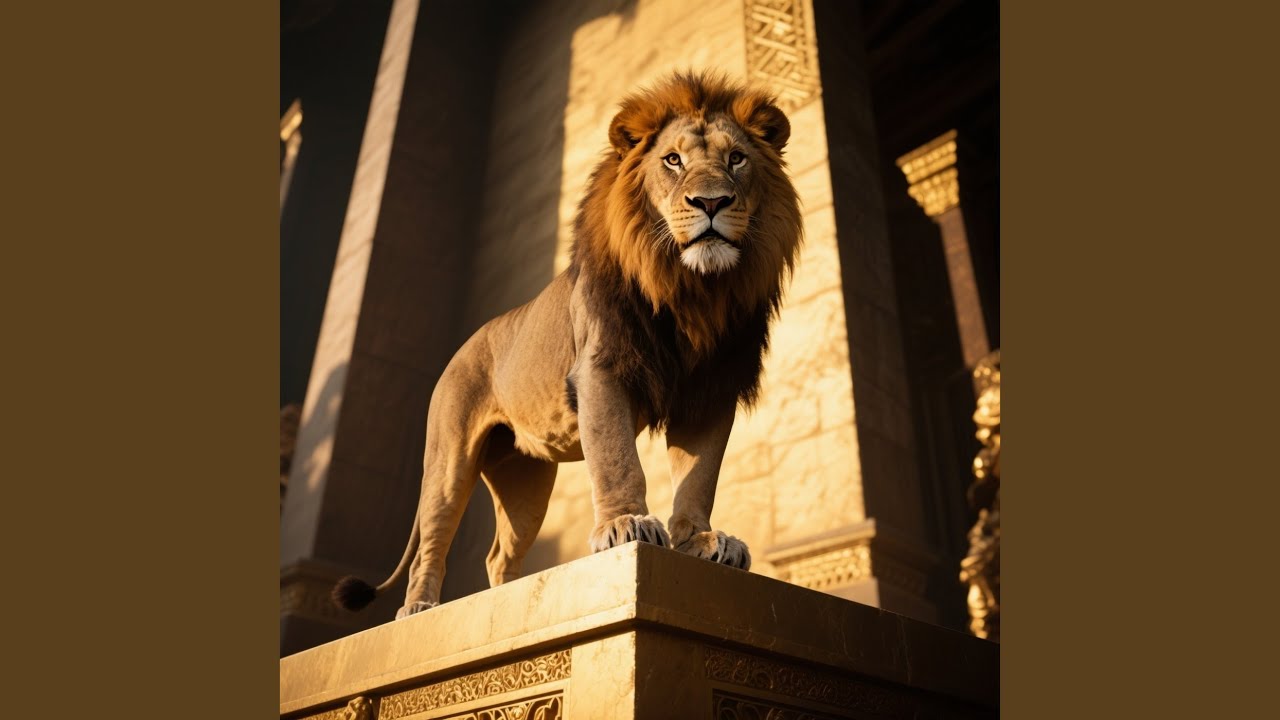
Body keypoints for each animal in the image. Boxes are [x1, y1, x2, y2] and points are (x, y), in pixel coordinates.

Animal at [333, 72, 802, 619]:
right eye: (673, 160)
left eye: (736, 159)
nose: (711, 204)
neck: (692, 290)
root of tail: (464, 344)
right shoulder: (602, 370)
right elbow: (618, 458)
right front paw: (625, 525)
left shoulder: (710, 391)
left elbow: (698, 477)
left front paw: (701, 541)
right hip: (448, 462)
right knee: (433, 540)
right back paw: (421, 608)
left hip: (524, 479)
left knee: (499, 554)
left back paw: (508, 600)